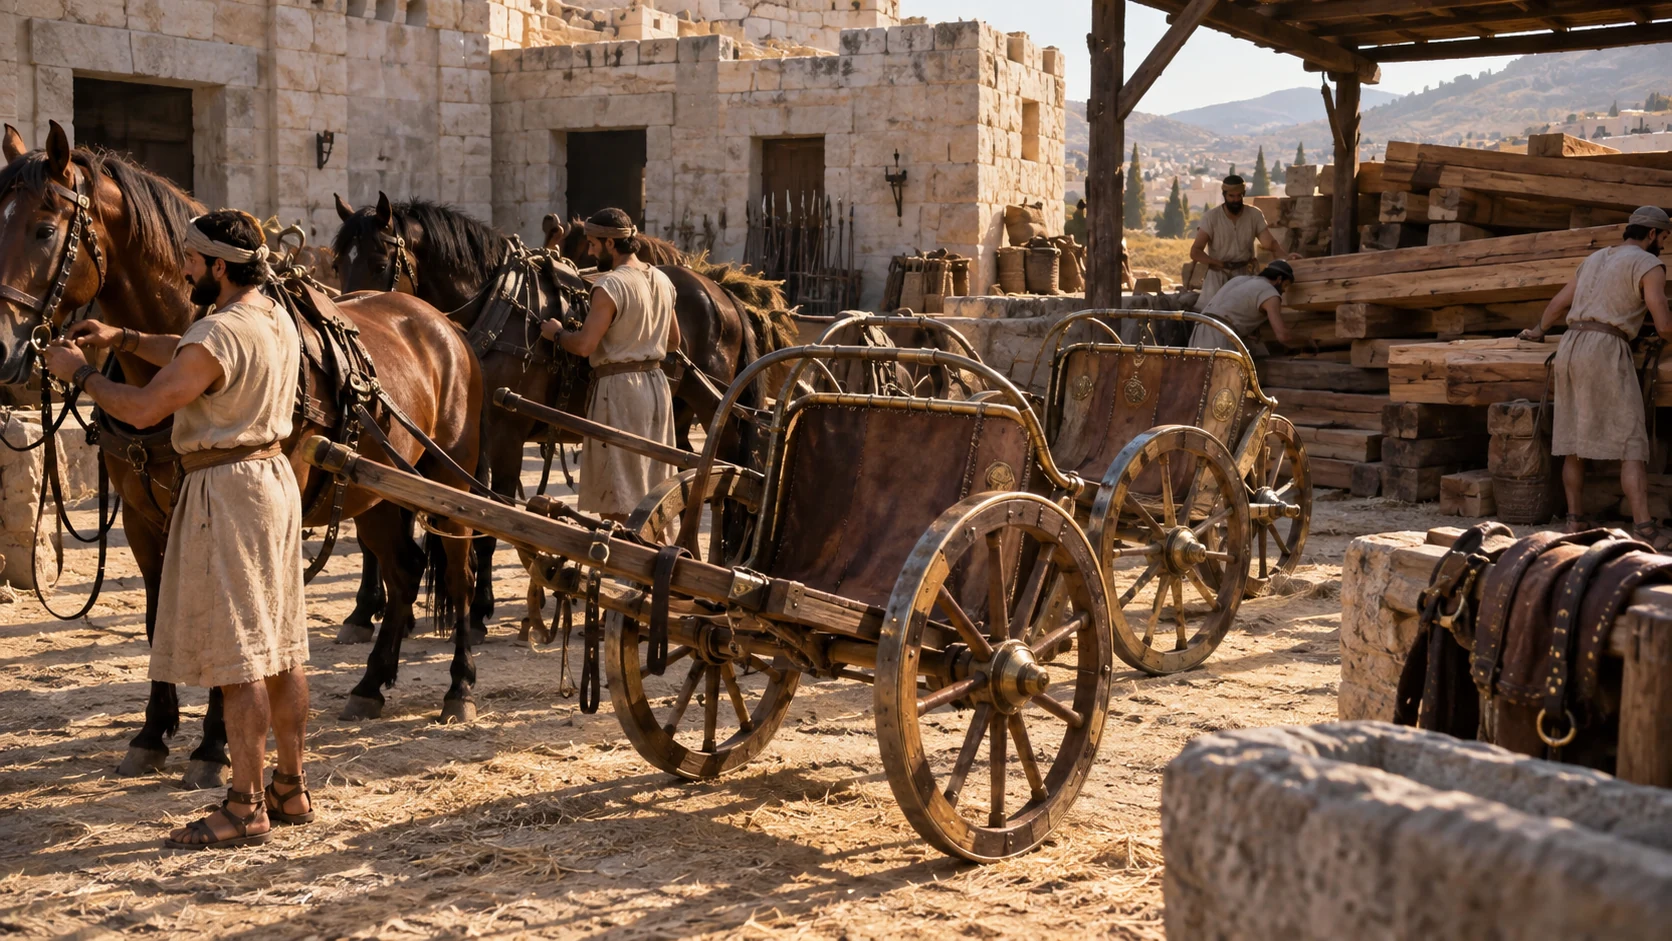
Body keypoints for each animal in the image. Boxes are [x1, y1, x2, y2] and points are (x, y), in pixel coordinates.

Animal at [0, 123, 484, 788]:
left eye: (46, 230)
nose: (4, 350)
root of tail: (441, 324)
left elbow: (232, 622)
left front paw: (214, 743)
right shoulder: (142, 518)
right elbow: (160, 619)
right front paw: (153, 732)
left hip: (447, 485)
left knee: (458, 573)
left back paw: (459, 687)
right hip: (375, 489)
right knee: (403, 569)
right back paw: (370, 683)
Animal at [331, 193, 768, 640]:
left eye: (379, 262)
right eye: (337, 264)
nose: (349, 325)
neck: (493, 308)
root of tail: (719, 290)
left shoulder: (503, 436)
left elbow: (490, 517)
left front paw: (476, 610)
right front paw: (370, 609)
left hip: (714, 405)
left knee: (729, 470)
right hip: (677, 414)